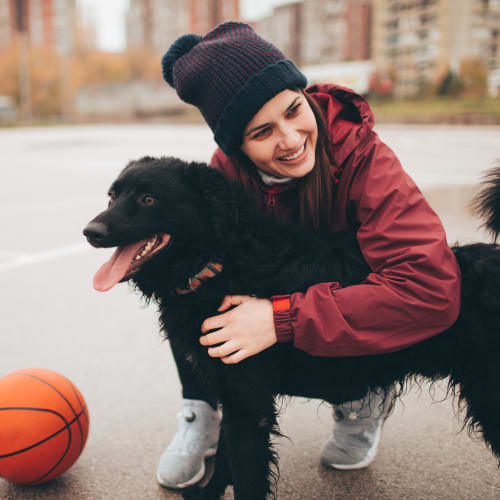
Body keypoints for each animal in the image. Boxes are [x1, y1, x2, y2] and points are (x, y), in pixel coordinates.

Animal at [83, 157, 500, 500]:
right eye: (112, 195)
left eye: (149, 199)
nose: (91, 231)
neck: (220, 262)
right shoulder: (231, 394)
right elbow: (225, 459)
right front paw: (207, 493)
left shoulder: (249, 405)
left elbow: (246, 474)